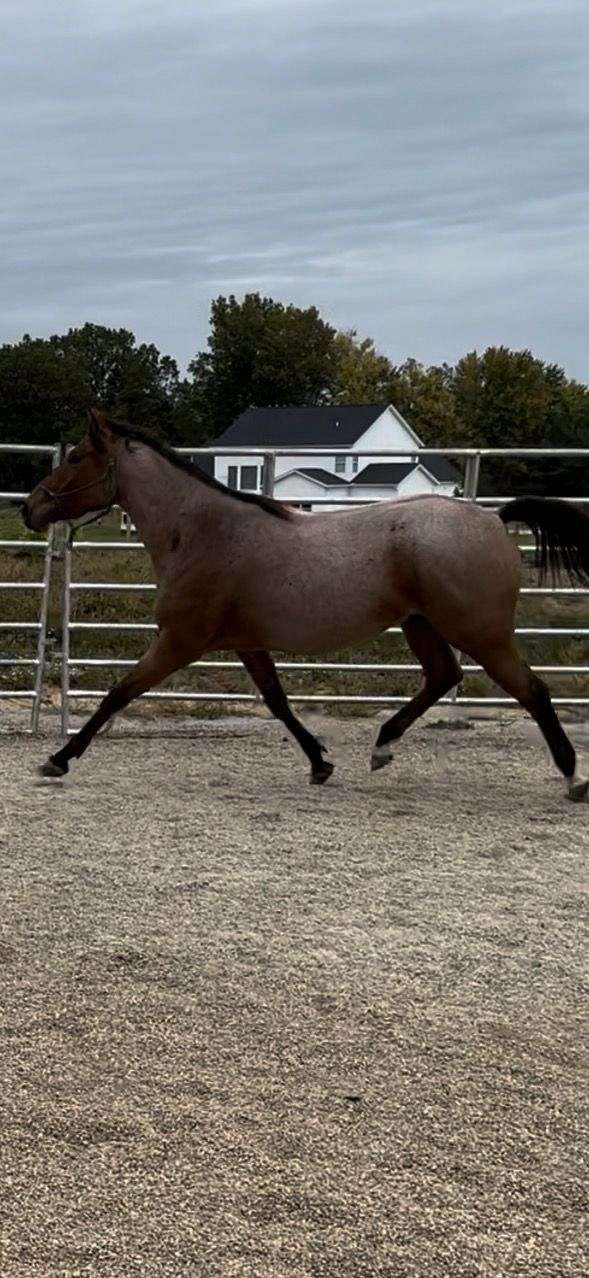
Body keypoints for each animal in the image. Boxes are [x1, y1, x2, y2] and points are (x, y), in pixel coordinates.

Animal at [22, 409, 589, 801]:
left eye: (75, 458)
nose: (30, 508)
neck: (203, 531)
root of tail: (493, 518)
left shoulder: (181, 640)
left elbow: (118, 693)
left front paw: (58, 759)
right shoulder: (247, 643)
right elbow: (277, 701)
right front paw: (319, 763)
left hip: (480, 633)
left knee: (531, 690)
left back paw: (572, 776)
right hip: (421, 625)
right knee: (442, 676)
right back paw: (382, 747)